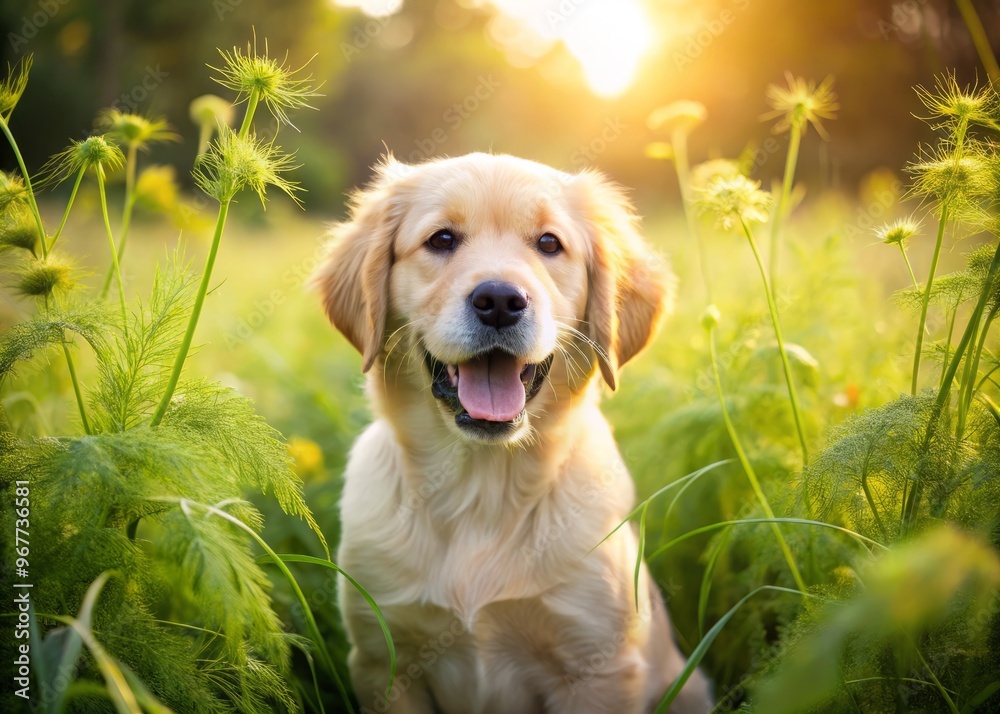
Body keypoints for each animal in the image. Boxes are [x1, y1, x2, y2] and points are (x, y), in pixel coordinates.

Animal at [312, 153, 712, 708]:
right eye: (441, 239)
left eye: (549, 243)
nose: (500, 300)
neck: (481, 487)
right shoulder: (383, 661)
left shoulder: (597, 666)